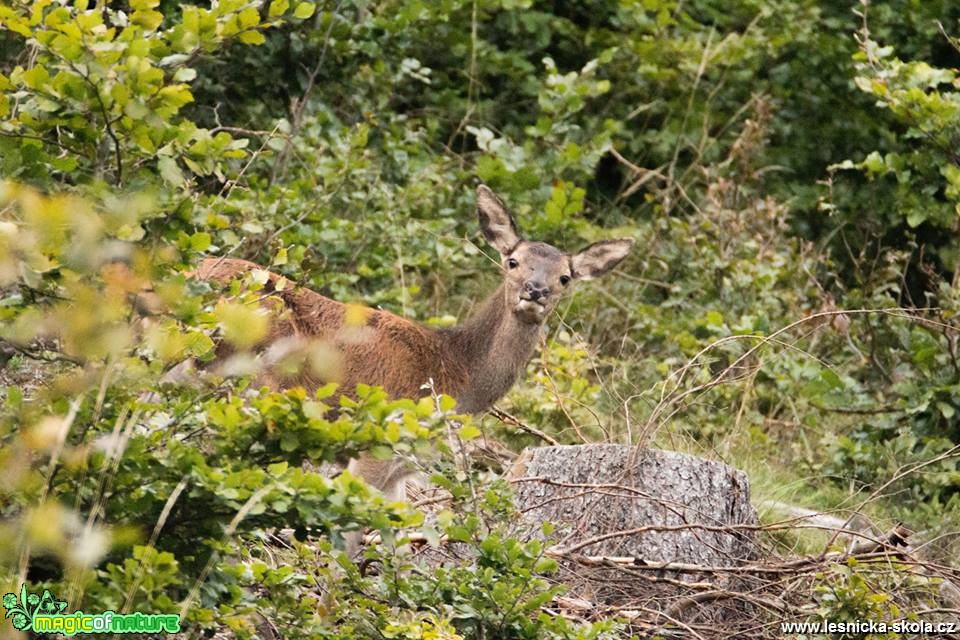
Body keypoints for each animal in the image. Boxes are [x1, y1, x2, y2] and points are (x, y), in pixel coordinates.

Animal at [191, 185, 632, 544]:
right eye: (513, 261)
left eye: (565, 277)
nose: (535, 290)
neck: (455, 373)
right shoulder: (377, 441)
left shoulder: (401, 470)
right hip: (251, 382)